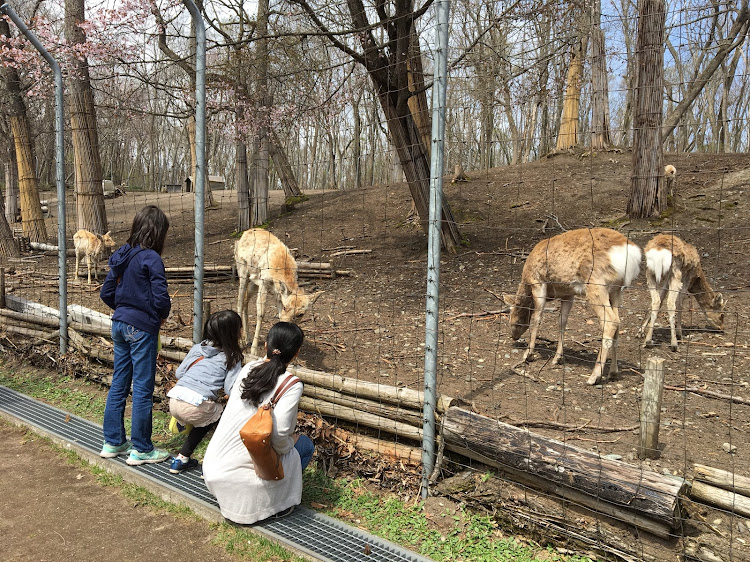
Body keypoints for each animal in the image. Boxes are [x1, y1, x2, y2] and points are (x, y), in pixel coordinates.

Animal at [502, 228, 644, 384]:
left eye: (512, 317)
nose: (514, 337)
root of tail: (630, 252)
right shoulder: (568, 294)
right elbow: (562, 322)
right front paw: (557, 358)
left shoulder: (538, 282)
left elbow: (537, 318)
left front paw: (528, 354)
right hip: (616, 290)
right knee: (618, 322)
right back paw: (613, 372)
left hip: (596, 285)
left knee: (610, 322)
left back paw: (594, 376)